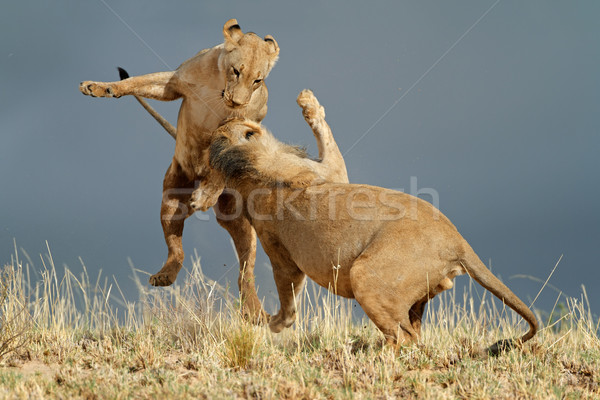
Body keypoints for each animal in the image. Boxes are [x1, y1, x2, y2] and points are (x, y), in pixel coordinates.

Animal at [78, 20, 350, 324]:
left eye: (258, 81)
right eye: (236, 71)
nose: (238, 101)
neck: (219, 85)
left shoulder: (247, 121)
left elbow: (223, 159)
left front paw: (207, 193)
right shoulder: (172, 83)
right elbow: (134, 82)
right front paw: (97, 87)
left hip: (241, 223)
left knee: (246, 269)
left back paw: (253, 307)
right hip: (172, 195)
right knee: (176, 246)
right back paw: (165, 274)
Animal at [205, 101, 540, 354]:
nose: (230, 114)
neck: (249, 169)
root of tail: (458, 242)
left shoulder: (329, 178)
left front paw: (308, 102)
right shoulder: (315, 192)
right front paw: (272, 322)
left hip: (373, 278)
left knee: (406, 335)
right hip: (382, 282)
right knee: (409, 336)